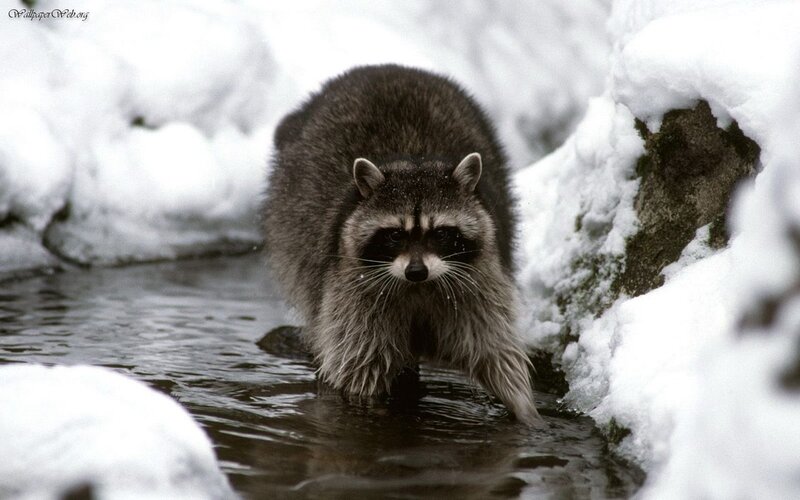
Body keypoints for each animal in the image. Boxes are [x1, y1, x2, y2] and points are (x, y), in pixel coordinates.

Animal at [262, 64, 541, 424]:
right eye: (396, 234)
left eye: (441, 233)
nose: (416, 271)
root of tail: (389, 68)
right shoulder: (353, 294)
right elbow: (357, 370)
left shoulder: (480, 285)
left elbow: (498, 358)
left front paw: (527, 415)